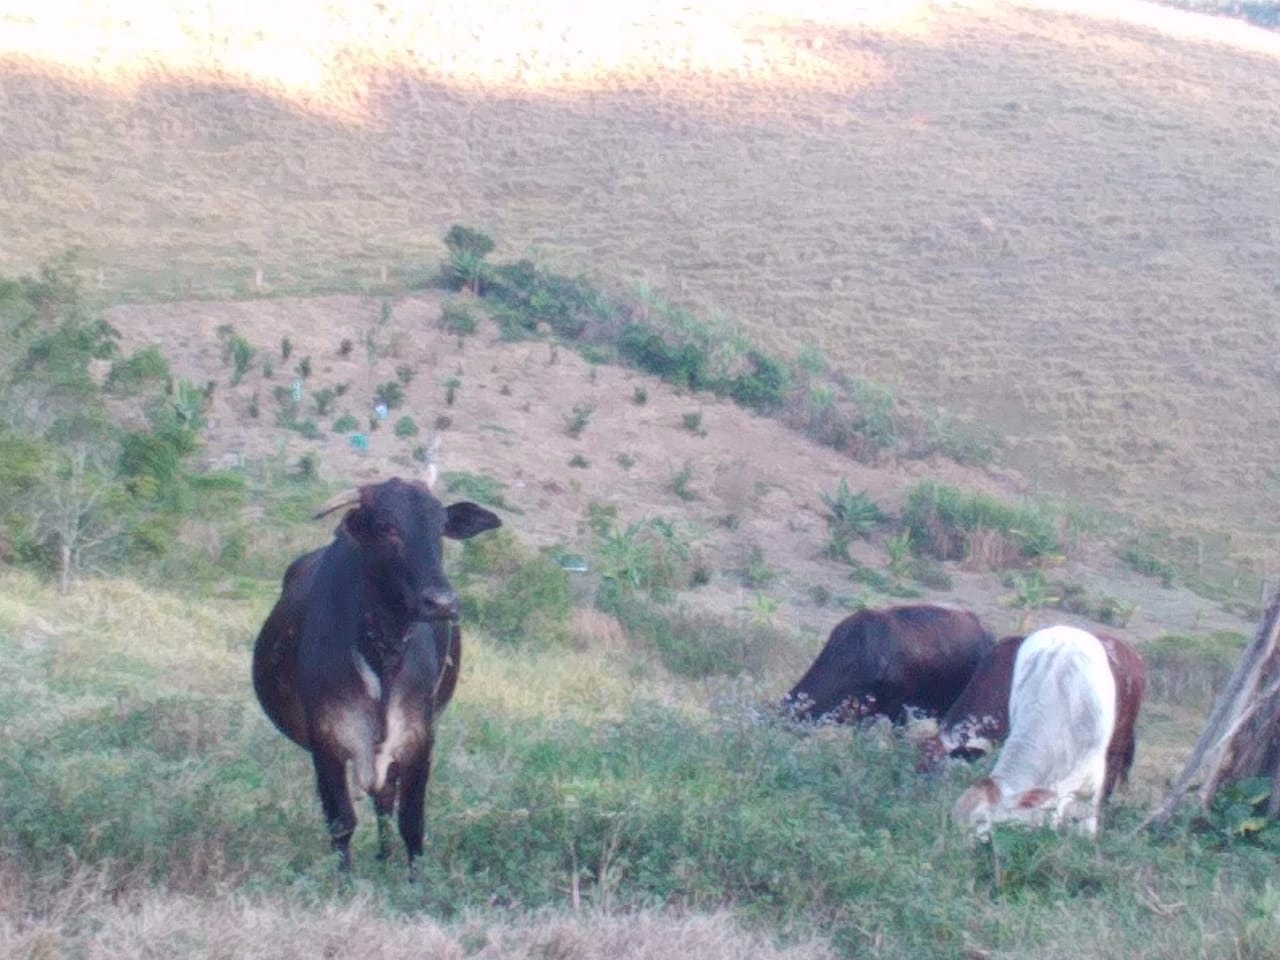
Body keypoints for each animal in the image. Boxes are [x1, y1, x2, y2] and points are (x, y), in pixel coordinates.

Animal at [252, 478, 501, 875]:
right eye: (386, 527)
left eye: (440, 527)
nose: (442, 603)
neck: (382, 655)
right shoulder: (326, 739)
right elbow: (341, 823)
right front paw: (344, 881)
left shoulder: (418, 737)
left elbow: (411, 823)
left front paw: (415, 882)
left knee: (385, 802)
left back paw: (385, 861)